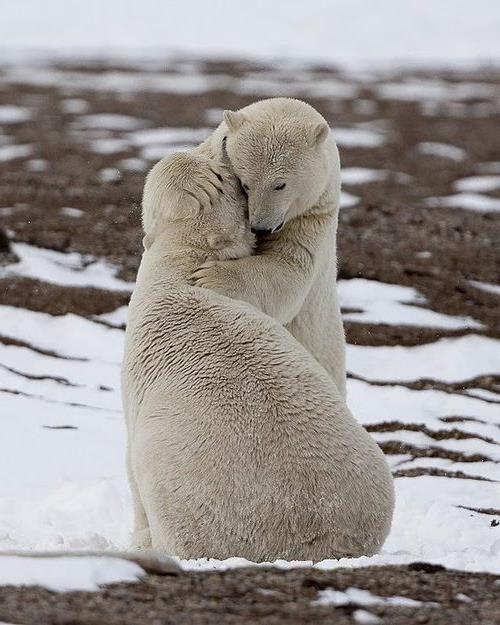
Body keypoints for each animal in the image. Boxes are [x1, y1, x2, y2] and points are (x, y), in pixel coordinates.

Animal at [141, 98, 348, 400]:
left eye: (280, 184)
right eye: (245, 183)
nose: (260, 227)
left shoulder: (314, 219)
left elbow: (289, 272)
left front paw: (210, 277)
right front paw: (200, 182)